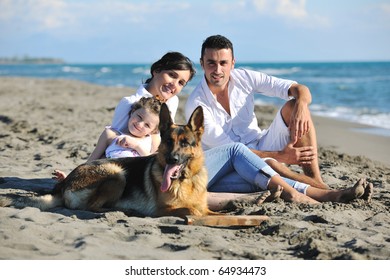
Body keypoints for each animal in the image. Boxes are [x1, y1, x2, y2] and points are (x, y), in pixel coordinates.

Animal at [0, 104, 212, 218]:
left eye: (185, 143)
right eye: (168, 141)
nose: (171, 159)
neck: (186, 181)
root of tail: (64, 182)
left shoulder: (205, 208)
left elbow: (207, 212)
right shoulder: (163, 209)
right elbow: (193, 211)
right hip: (117, 174)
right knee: (91, 207)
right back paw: (124, 210)